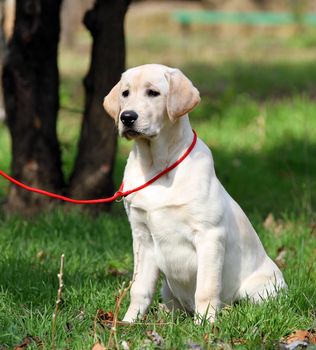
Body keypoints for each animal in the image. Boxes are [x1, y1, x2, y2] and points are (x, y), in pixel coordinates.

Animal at [103, 63, 286, 322]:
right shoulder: (142, 237)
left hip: (258, 289)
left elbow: (206, 288)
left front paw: (206, 324)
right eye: (125, 93)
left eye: (153, 93)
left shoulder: (209, 235)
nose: (127, 117)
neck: (157, 166)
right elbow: (139, 288)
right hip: (167, 289)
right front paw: (129, 322)